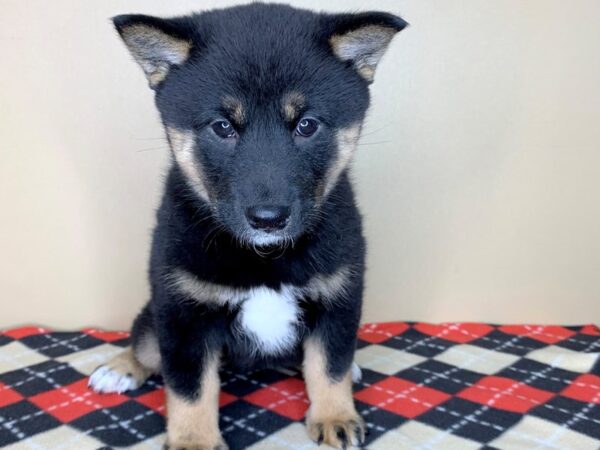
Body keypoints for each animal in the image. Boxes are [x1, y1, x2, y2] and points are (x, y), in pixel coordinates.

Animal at [88, 2, 408, 446]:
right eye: (222, 126)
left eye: (307, 124)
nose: (268, 218)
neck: (265, 257)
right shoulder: (183, 314)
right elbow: (189, 388)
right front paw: (194, 442)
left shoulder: (338, 299)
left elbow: (330, 366)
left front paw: (334, 416)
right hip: (156, 315)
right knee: (146, 345)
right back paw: (120, 367)